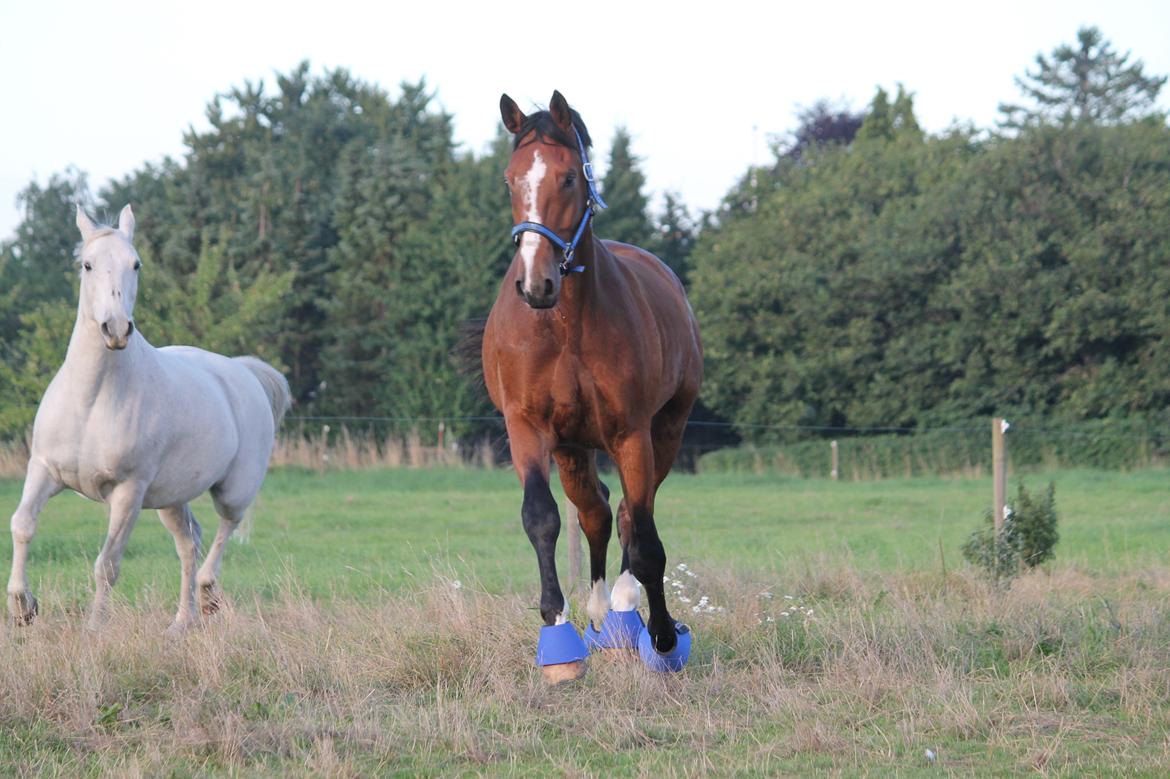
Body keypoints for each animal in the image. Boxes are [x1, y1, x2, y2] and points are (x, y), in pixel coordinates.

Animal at [6, 201, 290, 631]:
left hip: (234, 488)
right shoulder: (44, 470)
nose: (116, 328)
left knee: (225, 528)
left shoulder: (129, 491)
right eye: (87, 264)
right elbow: (22, 525)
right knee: (190, 541)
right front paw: (23, 606)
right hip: (172, 499)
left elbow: (107, 563)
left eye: (135, 264)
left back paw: (208, 594)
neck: (92, 400)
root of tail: (243, 371)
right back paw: (181, 623)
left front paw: (94, 628)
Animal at [484, 89, 702, 659]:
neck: (565, 324)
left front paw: (664, 636)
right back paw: (602, 609)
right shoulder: (528, 428)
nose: (535, 283)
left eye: (567, 178)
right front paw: (556, 625)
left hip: (665, 432)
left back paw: (625, 604)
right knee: (597, 511)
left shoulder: (631, 433)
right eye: (510, 180)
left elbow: (645, 538)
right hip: (572, 449)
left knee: (629, 511)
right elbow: (542, 517)